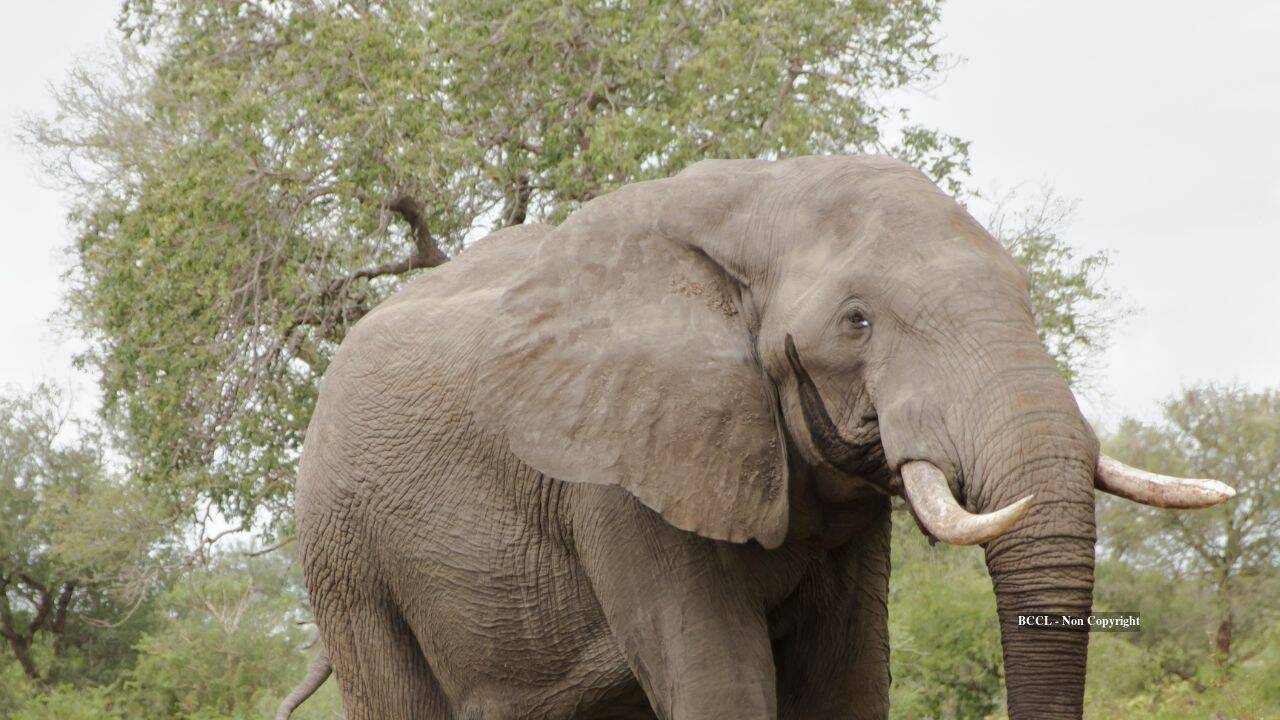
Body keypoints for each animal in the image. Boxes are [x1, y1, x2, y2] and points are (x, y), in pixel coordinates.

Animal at [288, 155, 1234, 720]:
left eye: (1029, 297)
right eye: (857, 322)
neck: (763, 200)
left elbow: (847, 681)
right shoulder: (619, 475)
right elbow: (720, 681)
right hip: (346, 554)